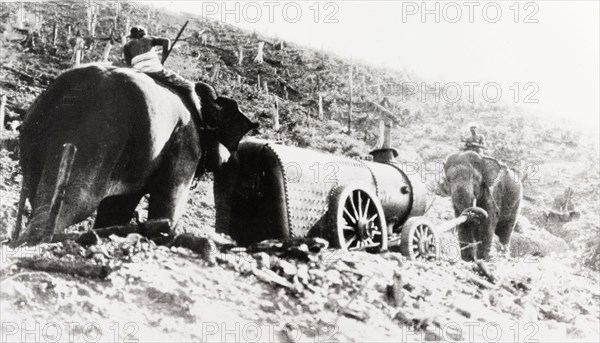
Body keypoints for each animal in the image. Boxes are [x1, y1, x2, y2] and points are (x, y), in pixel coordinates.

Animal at [17, 62, 258, 245]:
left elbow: (117, 209)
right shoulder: (186, 144)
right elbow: (167, 207)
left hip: (35, 138)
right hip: (96, 142)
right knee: (77, 202)